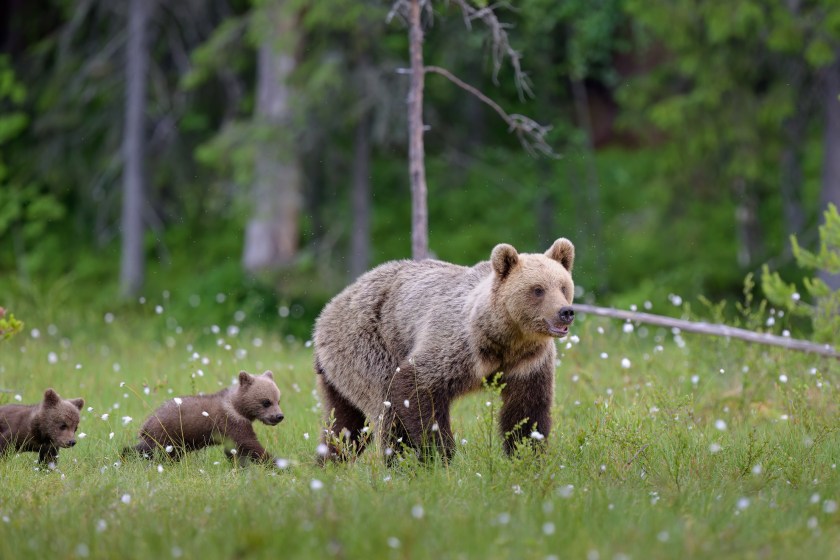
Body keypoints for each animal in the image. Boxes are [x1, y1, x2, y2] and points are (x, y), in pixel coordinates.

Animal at [125, 370, 284, 465]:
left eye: (278, 400)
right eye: (266, 402)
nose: (279, 416)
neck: (238, 408)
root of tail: (147, 422)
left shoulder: (231, 431)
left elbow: (235, 450)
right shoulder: (232, 422)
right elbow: (250, 445)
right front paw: (277, 463)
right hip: (165, 435)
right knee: (146, 450)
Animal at [313, 238, 575, 462]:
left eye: (563, 286)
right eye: (538, 289)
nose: (565, 312)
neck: (505, 340)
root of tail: (328, 309)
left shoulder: (529, 362)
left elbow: (526, 410)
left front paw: (527, 454)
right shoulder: (459, 345)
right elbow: (416, 386)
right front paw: (442, 454)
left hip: (340, 373)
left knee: (345, 424)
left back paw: (329, 461)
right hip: (368, 346)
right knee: (386, 413)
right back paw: (398, 465)